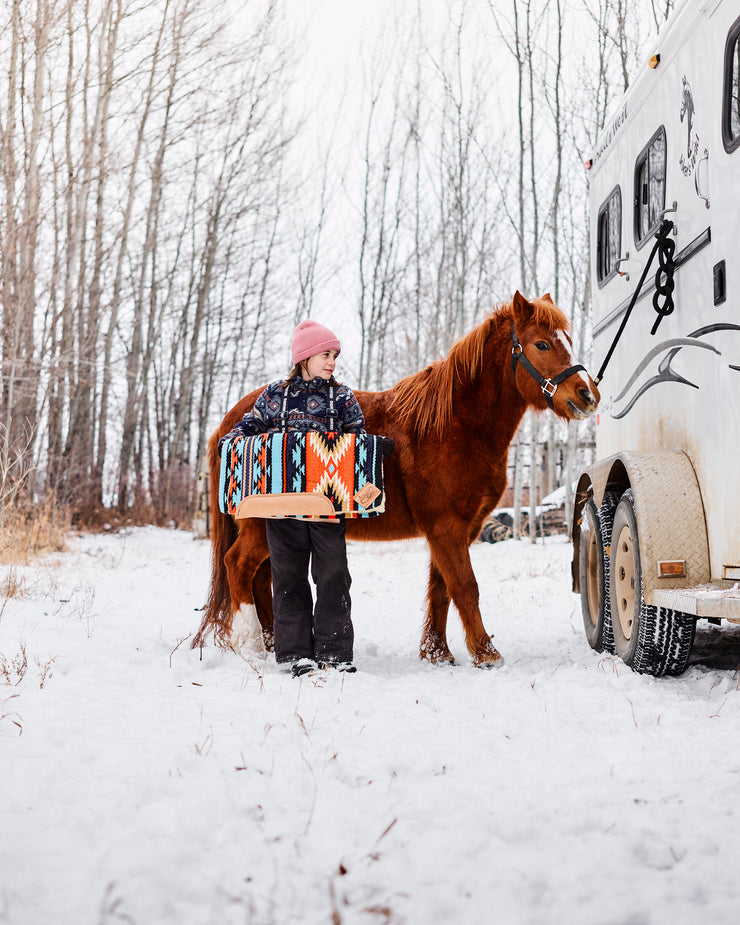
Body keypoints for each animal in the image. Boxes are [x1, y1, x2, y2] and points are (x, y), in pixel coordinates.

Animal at [194, 292, 600, 668]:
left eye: (567, 339)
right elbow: (465, 586)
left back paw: (270, 643)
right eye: (542, 344)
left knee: (260, 578)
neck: (454, 426)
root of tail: (229, 425)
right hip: (261, 525)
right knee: (238, 566)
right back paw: (251, 645)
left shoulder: (456, 529)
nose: (588, 394)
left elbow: (442, 589)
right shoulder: (447, 527)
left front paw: (437, 653)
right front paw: (486, 654)